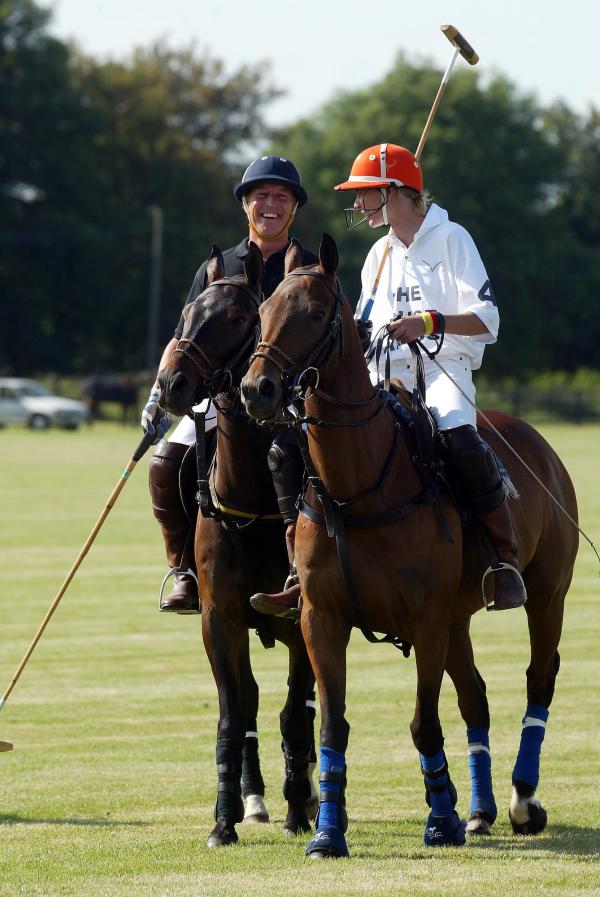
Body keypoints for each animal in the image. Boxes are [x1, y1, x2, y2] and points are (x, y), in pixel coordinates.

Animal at [158, 245, 318, 848]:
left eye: (237, 318)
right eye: (187, 313)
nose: (172, 385)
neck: (255, 506)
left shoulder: (303, 617)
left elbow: (296, 713)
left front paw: (300, 811)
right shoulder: (219, 617)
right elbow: (234, 712)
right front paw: (223, 820)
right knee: (249, 706)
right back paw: (254, 802)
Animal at [240, 234, 580, 856]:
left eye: (316, 313)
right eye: (263, 311)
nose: (258, 389)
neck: (358, 486)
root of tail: (536, 440)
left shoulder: (424, 617)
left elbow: (424, 723)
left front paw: (440, 821)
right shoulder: (322, 618)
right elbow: (333, 725)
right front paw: (327, 833)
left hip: (548, 594)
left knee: (538, 678)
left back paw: (521, 800)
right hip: (459, 617)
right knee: (475, 695)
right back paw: (481, 812)